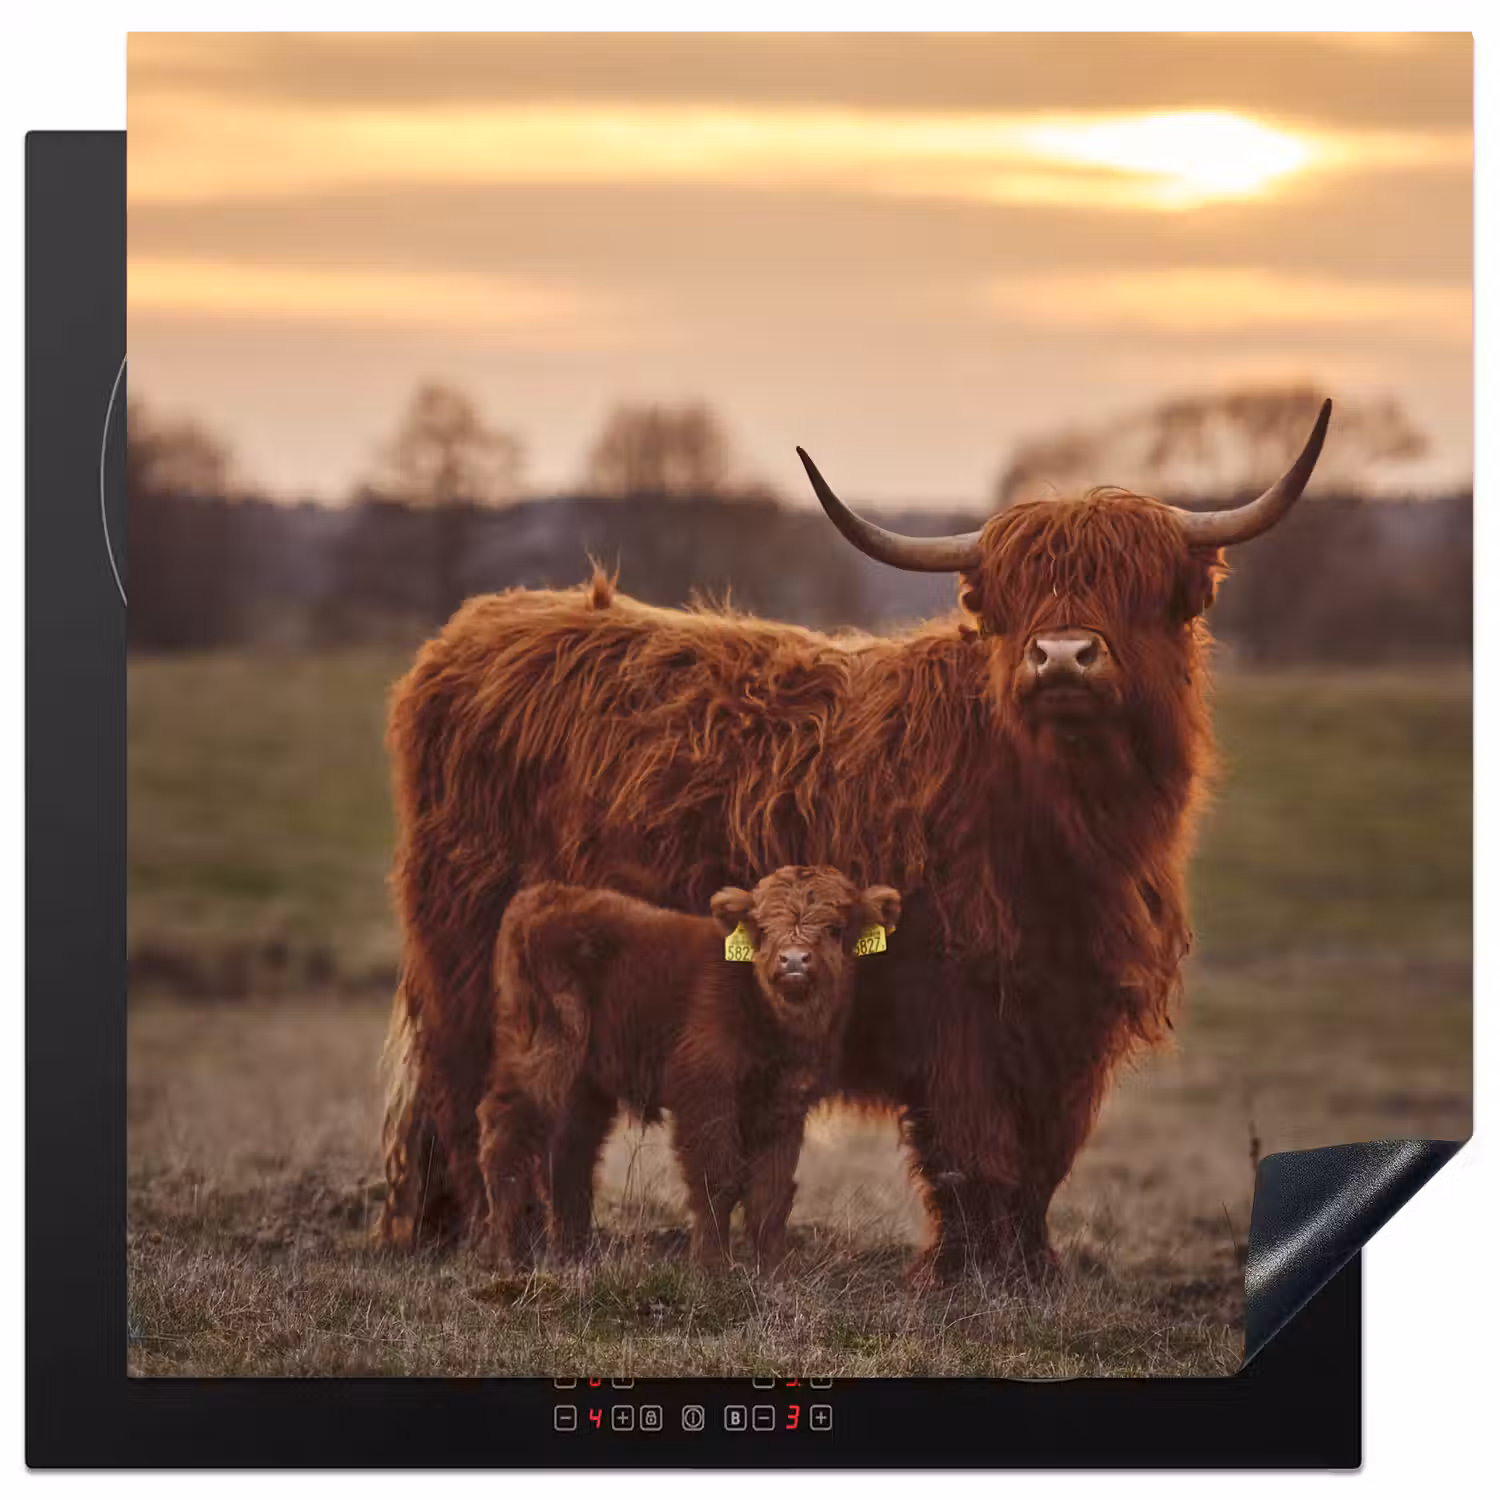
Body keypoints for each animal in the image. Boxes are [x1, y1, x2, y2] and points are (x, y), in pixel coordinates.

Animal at [477, 868, 902, 1272]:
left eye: (836, 928)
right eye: (763, 929)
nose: (794, 960)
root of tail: (543, 896)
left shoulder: (785, 1104)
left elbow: (771, 1193)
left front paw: (774, 1275)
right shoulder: (705, 1092)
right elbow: (717, 1181)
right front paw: (711, 1268)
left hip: (584, 1083)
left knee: (569, 1156)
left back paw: (573, 1259)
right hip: (544, 1052)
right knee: (506, 1136)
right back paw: (510, 1258)